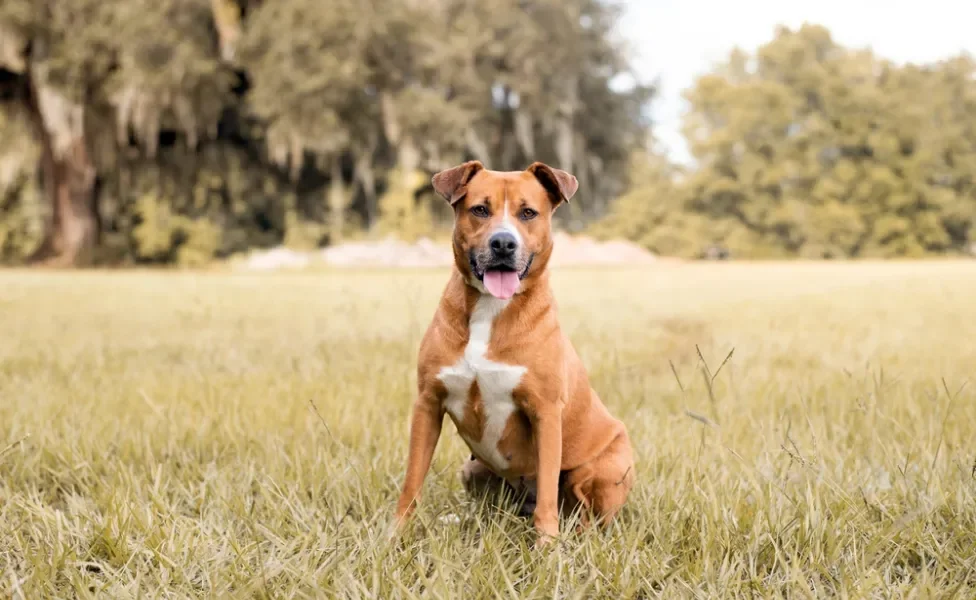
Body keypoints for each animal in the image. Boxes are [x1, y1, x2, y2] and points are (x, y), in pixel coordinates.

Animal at [392, 162, 636, 548]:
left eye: (528, 213)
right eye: (480, 209)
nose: (504, 243)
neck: (490, 309)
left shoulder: (545, 412)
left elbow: (548, 494)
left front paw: (547, 549)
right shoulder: (428, 404)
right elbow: (412, 481)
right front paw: (395, 535)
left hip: (601, 469)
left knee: (587, 518)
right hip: (472, 468)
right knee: (491, 512)